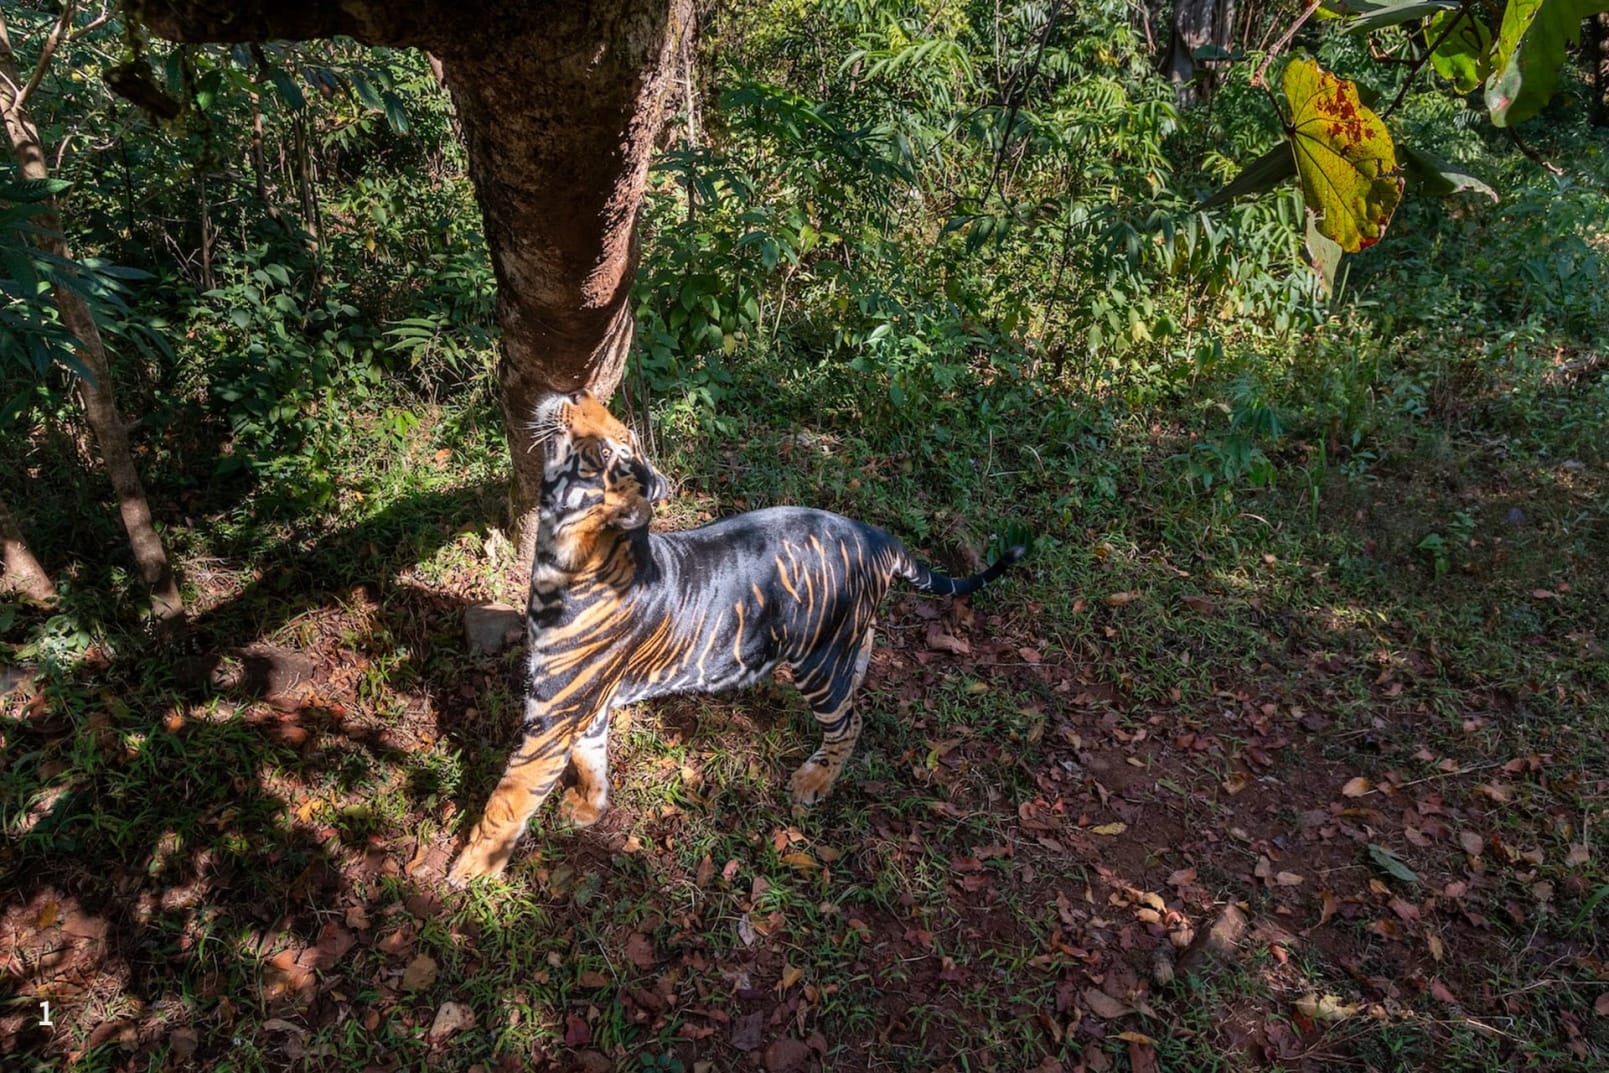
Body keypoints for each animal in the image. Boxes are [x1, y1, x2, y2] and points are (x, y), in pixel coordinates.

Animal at [447, 390, 1025, 884]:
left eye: (607, 449)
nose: (576, 391)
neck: (562, 555)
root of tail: (874, 533)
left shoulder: (551, 715)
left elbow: (510, 797)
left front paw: (471, 871)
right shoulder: (586, 705)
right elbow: (591, 760)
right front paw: (589, 807)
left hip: (818, 662)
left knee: (850, 721)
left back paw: (812, 782)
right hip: (847, 638)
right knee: (859, 671)